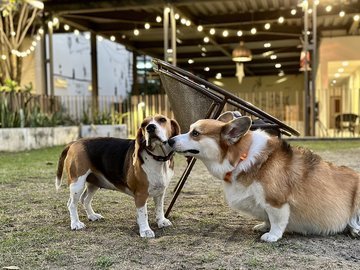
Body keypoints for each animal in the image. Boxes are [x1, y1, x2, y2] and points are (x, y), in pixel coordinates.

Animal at [169, 110, 360, 242]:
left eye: (195, 133)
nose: (169, 140)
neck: (242, 156)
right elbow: (267, 218)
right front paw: (263, 227)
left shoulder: (276, 202)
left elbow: (277, 220)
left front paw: (272, 235)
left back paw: (355, 229)